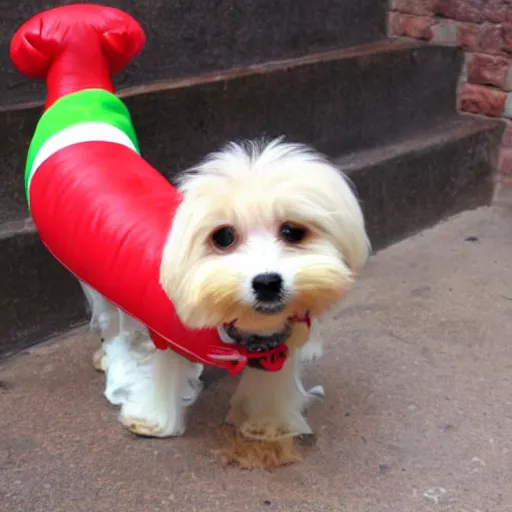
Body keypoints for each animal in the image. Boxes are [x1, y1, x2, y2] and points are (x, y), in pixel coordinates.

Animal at [82, 138, 370, 450]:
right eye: (223, 237)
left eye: (292, 231)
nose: (267, 282)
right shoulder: (169, 334)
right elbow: (165, 370)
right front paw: (152, 420)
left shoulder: (273, 349)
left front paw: (268, 423)